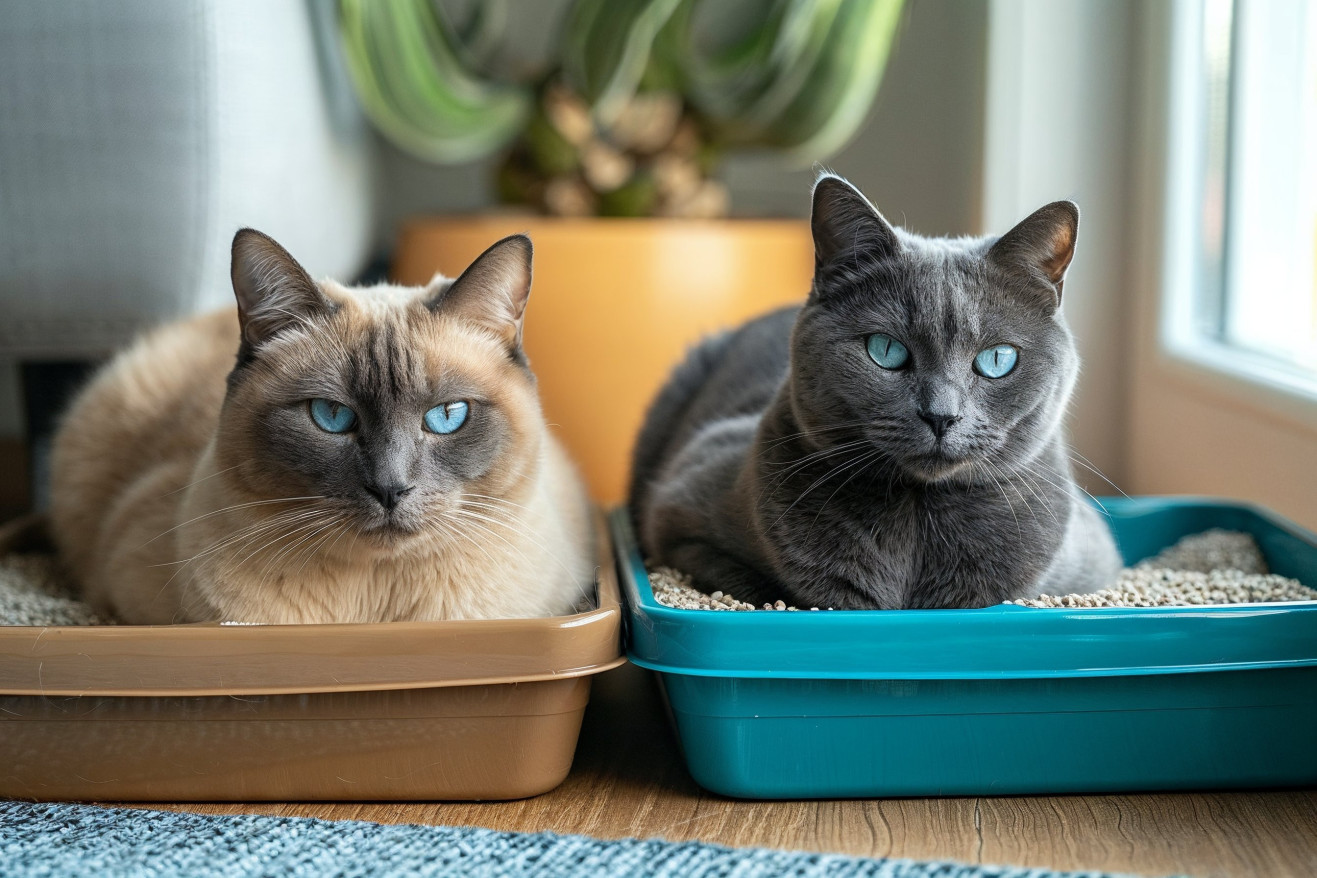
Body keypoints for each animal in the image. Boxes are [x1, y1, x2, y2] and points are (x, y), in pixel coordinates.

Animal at [629, 175, 1122, 608]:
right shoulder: (677, 509)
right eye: (885, 350)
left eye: (997, 359)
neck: (918, 519)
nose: (941, 415)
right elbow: (751, 581)